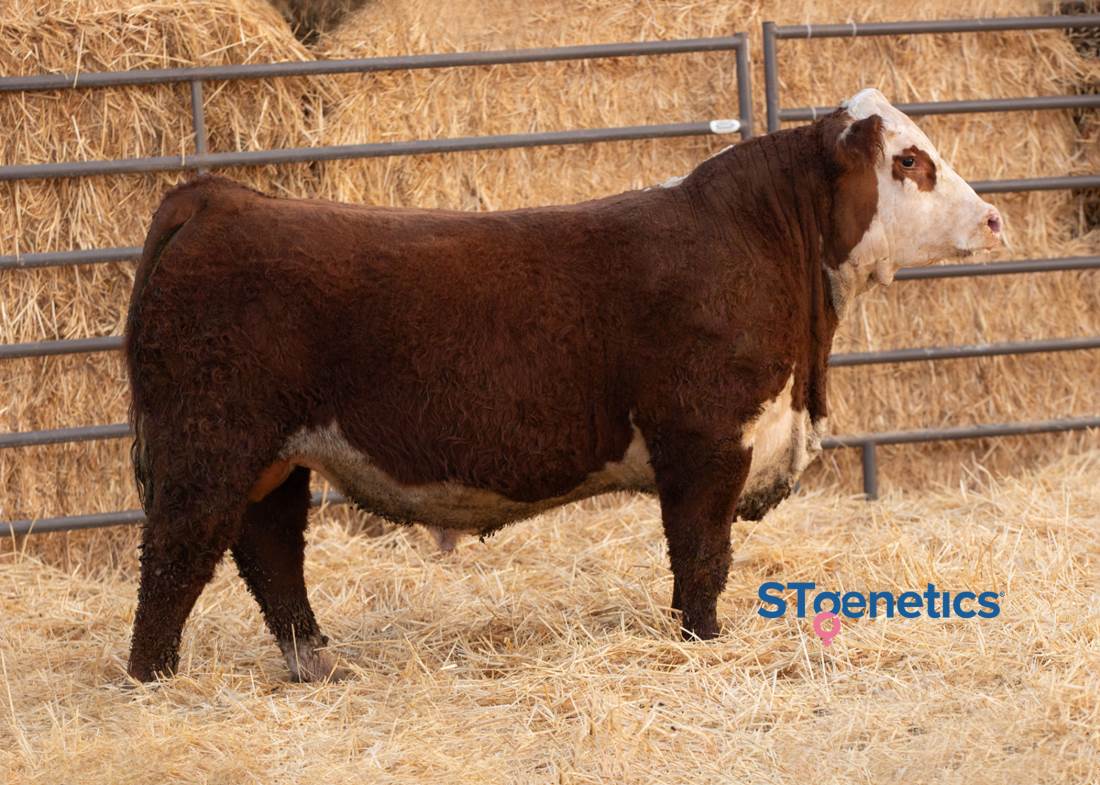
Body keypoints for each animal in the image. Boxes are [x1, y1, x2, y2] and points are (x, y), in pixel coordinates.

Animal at [123, 89, 1002, 682]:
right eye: (909, 161)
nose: (994, 218)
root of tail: (223, 197)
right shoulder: (706, 442)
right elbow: (702, 556)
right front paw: (702, 642)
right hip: (208, 444)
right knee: (175, 557)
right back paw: (153, 680)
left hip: (274, 458)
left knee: (269, 550)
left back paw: (315, 664)